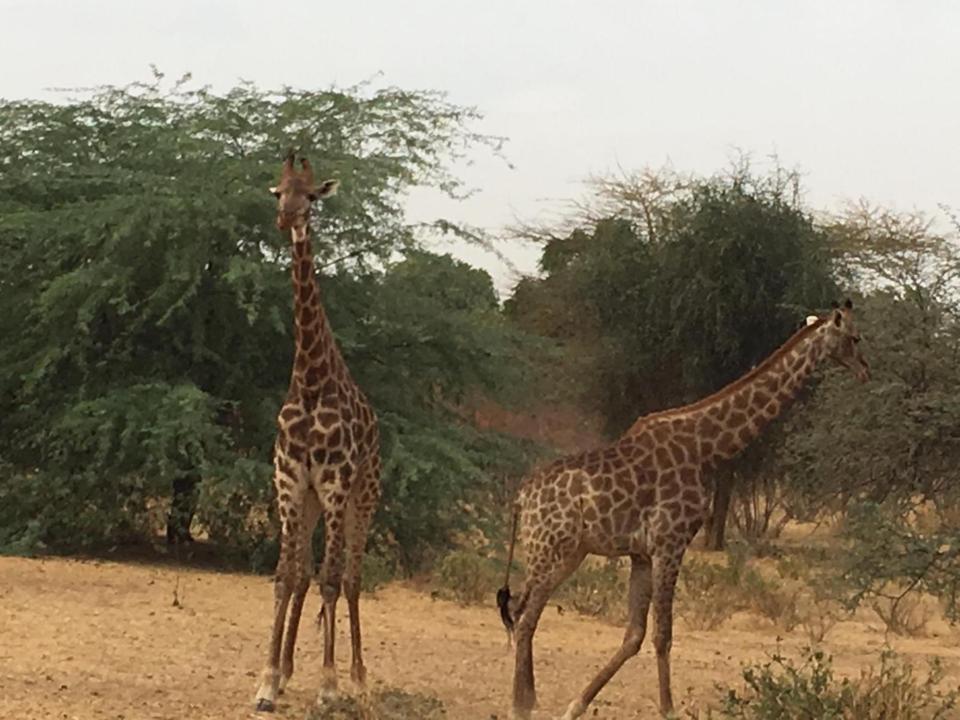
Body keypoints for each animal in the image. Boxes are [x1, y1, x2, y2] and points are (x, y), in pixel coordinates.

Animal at [498, 298, 868, 716]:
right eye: (855, 337)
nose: (865, 370)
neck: (707, 447)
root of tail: (521, 497)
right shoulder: (671, 542)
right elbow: (663, 634)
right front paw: (669, 709)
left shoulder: (642, 553)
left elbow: (634, 634)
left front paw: (576, 705)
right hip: (548, 549)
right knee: (524, 616)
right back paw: (520, 706)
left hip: (568, 552)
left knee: (522, 611)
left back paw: (529, 699)